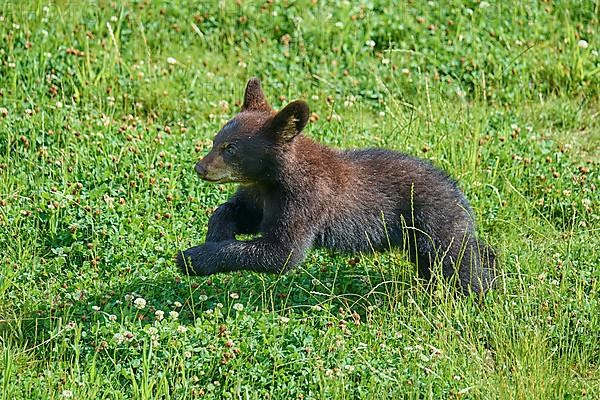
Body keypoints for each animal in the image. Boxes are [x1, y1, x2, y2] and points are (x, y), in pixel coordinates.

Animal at [178, 77, 496, 294]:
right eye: (216, 140)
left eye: (231, 149)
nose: (200, 167)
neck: (274, 178)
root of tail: (458, 192)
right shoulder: (260, 193)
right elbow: (238, 210)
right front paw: (216, 234)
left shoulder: (305, 199)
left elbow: (281, 252)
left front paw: (192, 258)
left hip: (435, 223)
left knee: (460, 261)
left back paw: (479, 293)